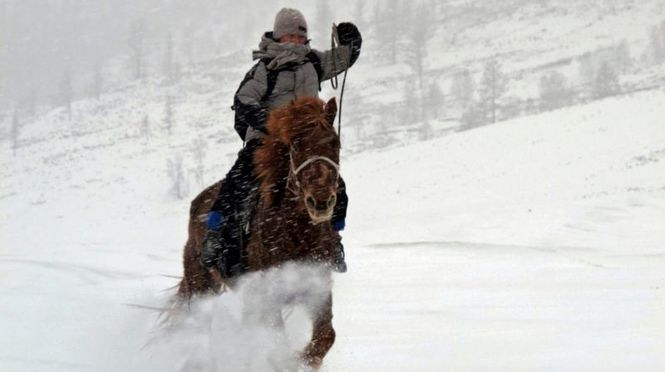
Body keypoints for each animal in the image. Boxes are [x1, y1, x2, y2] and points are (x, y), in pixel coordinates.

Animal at [178, 96, 340, 370]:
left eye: (335, 142)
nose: (320, 202)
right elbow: (278, 345)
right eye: (296, 145)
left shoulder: (316, 288)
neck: (296, 232)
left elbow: (325, 336)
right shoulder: (268, 296)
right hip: (201, 286)